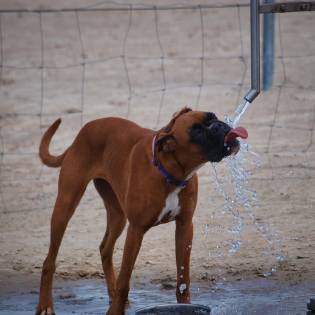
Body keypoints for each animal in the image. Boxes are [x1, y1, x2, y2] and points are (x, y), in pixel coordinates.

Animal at [35, 108, 248, 315]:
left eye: (213, 116)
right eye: (196, 132)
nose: (218, 126)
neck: (170, 171)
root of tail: (83, 131)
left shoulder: (185, 227)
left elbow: (183, 279)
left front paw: (186, 306)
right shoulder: (136, 231)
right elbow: (125, 281)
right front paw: (115, 311)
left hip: (117, 215)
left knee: (105, 248)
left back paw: (111, 295)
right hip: (65, 205)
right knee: (49, 261)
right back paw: (45, 305)